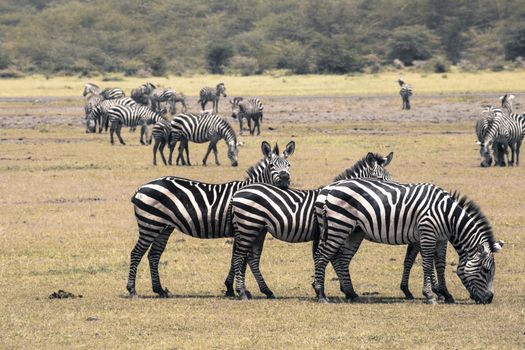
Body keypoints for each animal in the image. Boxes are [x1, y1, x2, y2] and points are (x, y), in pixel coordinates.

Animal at [127, 141, 294, 296]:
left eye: (289, 165)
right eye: (271, 165)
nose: (285, 181)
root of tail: (141, 187)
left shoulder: (239, 231)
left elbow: (235, 259)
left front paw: (231, 288)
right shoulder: (242, 229)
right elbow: (240, 259)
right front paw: (237, 289)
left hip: (164, 227)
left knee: (153, 255)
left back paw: (160, 290)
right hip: (150, 224)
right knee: (136, 253)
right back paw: (132, 290)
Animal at [227, 152, 390, 300]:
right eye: (381, 179)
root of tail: (237, 193)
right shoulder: (328, 231)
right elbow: (331, 257)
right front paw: (330, 288)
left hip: (257, 229)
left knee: (249, 257)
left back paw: (264, 291)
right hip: (248, 225)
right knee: (239, 256)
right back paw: (242, 292)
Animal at [312, 179, 504, 304]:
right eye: (486, 270)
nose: (489, 299)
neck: (448, 215)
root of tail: (326, 191)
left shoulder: (439, 239)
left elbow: (437, 265)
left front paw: (445, 294)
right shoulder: (427, 234)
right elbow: (427, 264)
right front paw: (430, 295)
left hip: (353, 231)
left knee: (341, 259)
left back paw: (351, 293)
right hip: (339, 225)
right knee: (322, 256)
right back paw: (321, 294)